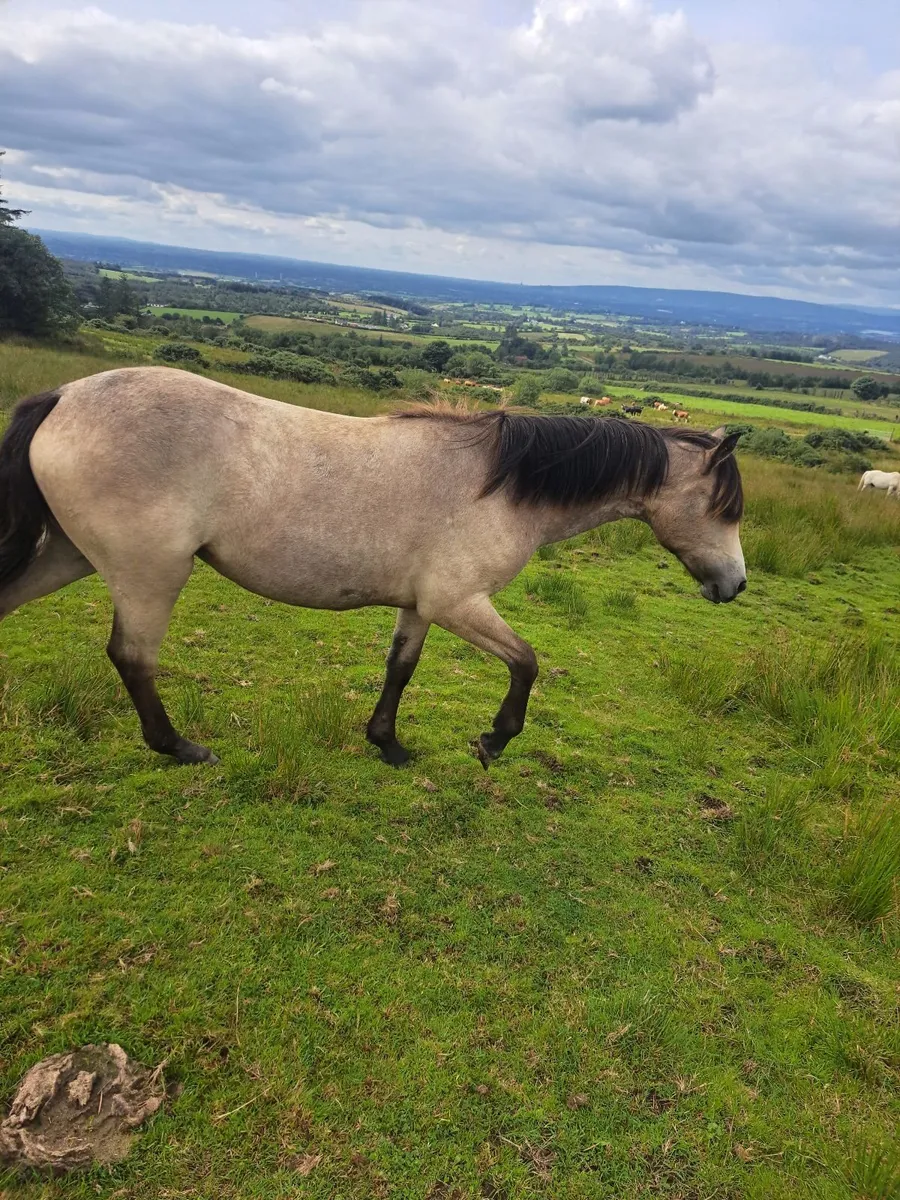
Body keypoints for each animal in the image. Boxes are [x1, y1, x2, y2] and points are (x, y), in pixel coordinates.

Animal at [0, 368, 746, 769]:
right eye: (725, 506)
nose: (734, 585)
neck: (502, 486)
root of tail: (65, 395)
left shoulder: (421, 605)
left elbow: (401, 669)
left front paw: (387, 744)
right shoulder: (459, 603)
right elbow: (527, 662)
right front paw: (493, 741)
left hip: (68, 554)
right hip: (150, 572)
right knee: (132, 657)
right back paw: (179, 747)